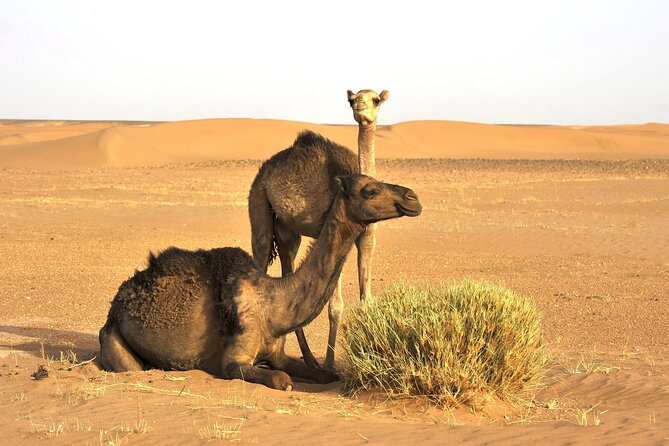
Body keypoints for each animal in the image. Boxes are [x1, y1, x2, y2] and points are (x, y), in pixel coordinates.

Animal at [99, 174, 421, 390]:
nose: (413, 198)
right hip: (113, 339)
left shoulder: (277, 353)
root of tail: (117, 304)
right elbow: (282, 380)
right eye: (370, 190)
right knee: (129, 367)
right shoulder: (234, 360)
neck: (273, 304)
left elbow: (324, 375)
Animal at [248, 89, 388, 370]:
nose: (359, 106)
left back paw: (309, 359)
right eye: (351, 99)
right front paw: (331, 364)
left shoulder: (368, 238)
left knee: (288, 268)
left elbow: (366, 298)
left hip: (288, 232)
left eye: (376, 99)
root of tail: (265, 169)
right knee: (261, 250)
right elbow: (335, 306)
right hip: (258, 203)